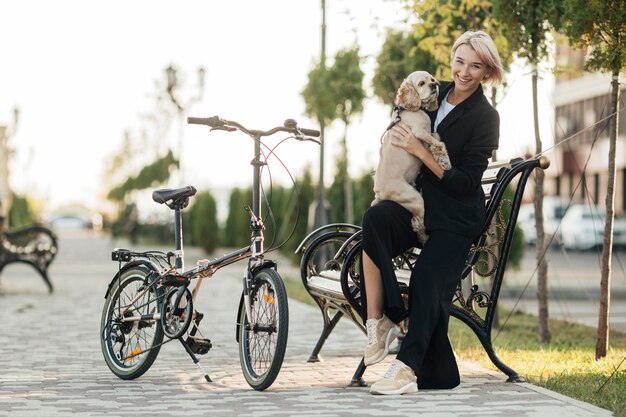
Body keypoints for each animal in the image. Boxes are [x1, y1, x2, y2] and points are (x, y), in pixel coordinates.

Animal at [370, 70, 448, 242]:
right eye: (421, 83)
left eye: (432, 79)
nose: (435, 85)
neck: (408, 109)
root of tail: (379, 192)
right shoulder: (418, 132)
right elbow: (439, 143)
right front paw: (445, 160)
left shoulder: (427, 133)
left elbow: (436, 137)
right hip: (415, 199)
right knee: (417, 223)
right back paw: (424, 238)